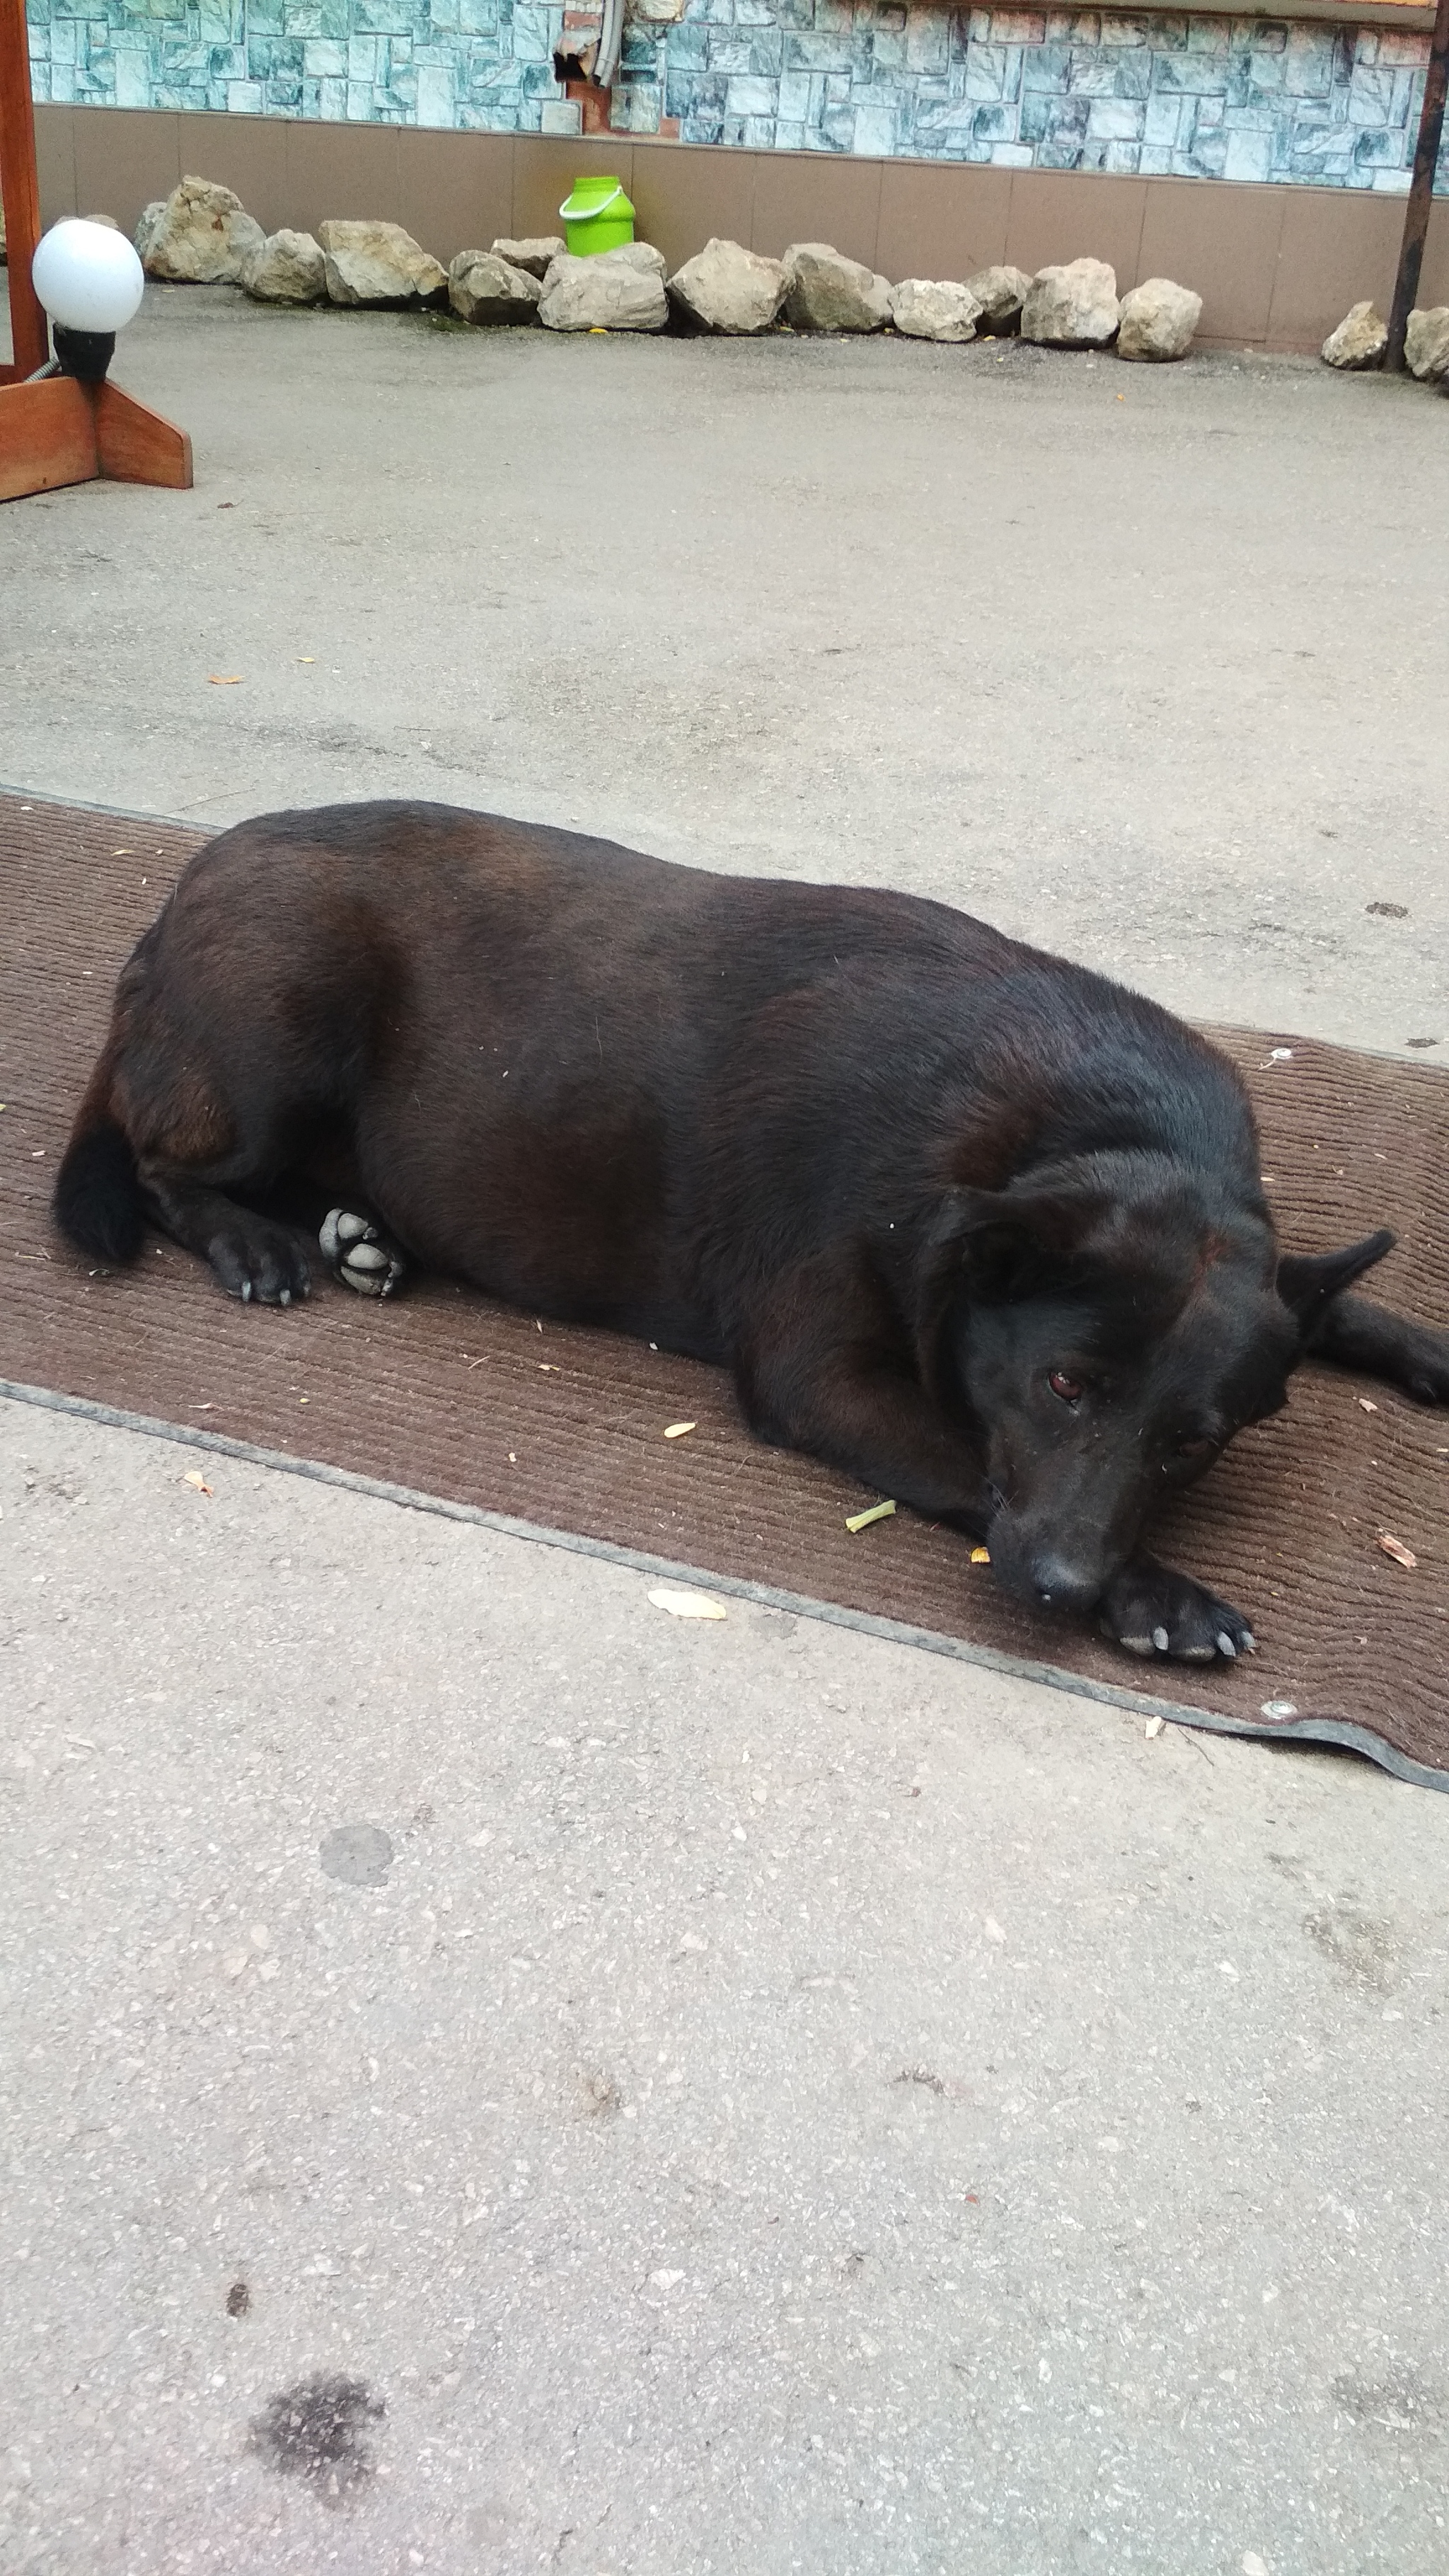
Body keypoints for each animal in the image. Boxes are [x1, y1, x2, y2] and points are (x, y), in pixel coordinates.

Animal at [51, 793, 1441, 1659]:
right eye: (1062, 1387)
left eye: (1194, 1445)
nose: (1065, 1591)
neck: (1089, 1124)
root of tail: (174, 900)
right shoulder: (822, 1377)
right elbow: (966, 1460)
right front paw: (1163, 1595)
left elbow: (1334, 1301)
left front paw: (1420, 1347)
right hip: (285, 1028)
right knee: (159, 1161)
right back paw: (258, 1243)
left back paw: (355, 1234)